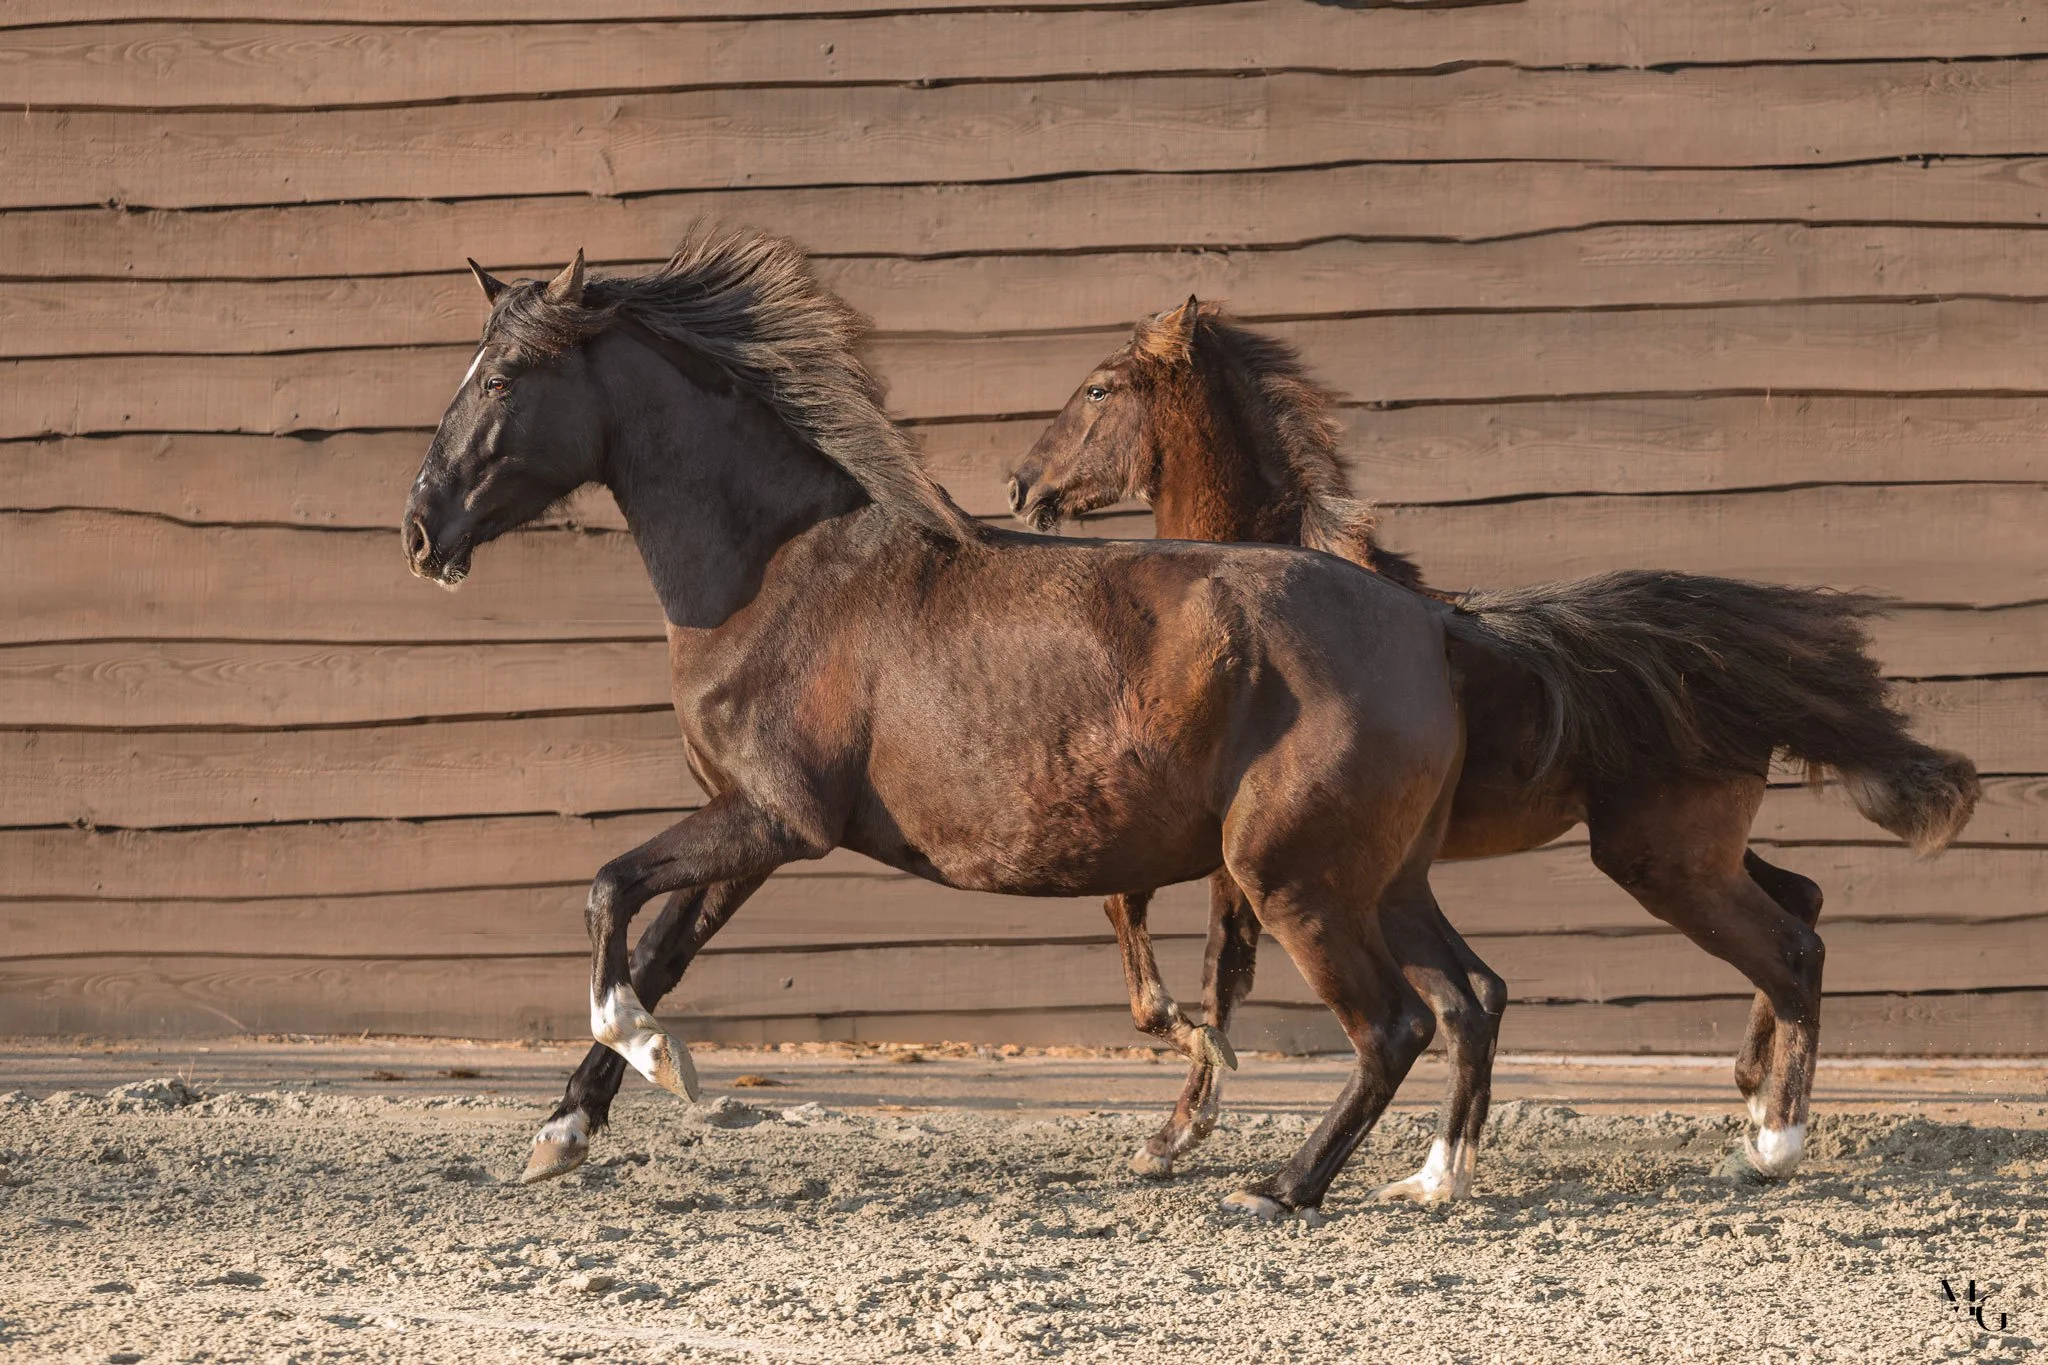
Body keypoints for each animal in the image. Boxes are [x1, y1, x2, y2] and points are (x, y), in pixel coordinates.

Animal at [401, 229, 1540, 1219]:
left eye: (501, 379)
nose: (420, 530)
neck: (775, 573)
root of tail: (1427, 621)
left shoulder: (775, 820)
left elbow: (606, 896)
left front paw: (655, 1060)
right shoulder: (746, 829)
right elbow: (655, 953)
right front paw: (562, 1132)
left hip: (1295, 880)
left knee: (1393, 1024)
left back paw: (1281, 1187)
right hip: (1381, 881)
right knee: (1469, 995)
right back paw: (1433, 1177)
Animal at [1005, 298, 1981, 1195]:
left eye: (1097, 387)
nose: (1020, 483)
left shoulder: (1239, 849)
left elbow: (1206, 969)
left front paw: (1176, 1130)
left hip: (1667, 860)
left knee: (1792, 947)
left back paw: (1775, 1139)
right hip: (1687, 849)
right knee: (1804, 902)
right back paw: (1747, 1095)